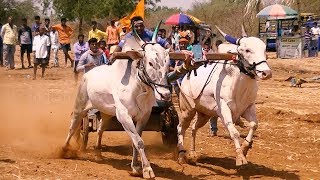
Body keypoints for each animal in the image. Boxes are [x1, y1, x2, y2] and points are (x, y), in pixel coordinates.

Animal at [63, 30, 171, 178]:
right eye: (150, 63)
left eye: (168, 63)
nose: (165, 94)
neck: (138, 87)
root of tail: (87, 74)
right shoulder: (124, 116)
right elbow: (139, 141)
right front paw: (147, 169)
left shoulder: (144, 116)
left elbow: (135, 141)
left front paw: (135, 167)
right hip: (80, 108)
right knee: (73, 127)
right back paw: (64, 149)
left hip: (106, 114)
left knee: (100, 130)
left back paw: (98, 153)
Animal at [178, 26, 272, 167]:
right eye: (247, 50)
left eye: (264, 49)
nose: (266, 73)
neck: (238, 86)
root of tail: (185, 77)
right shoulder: (224, 111)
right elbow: (234, 132)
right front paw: (240, 157)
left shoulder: (248, 108)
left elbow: (254, 125)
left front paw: (245, 148)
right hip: (187, 111)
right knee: (181, 128)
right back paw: (181, 155)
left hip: (204, 115)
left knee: (194, 128)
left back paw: (192, 153)